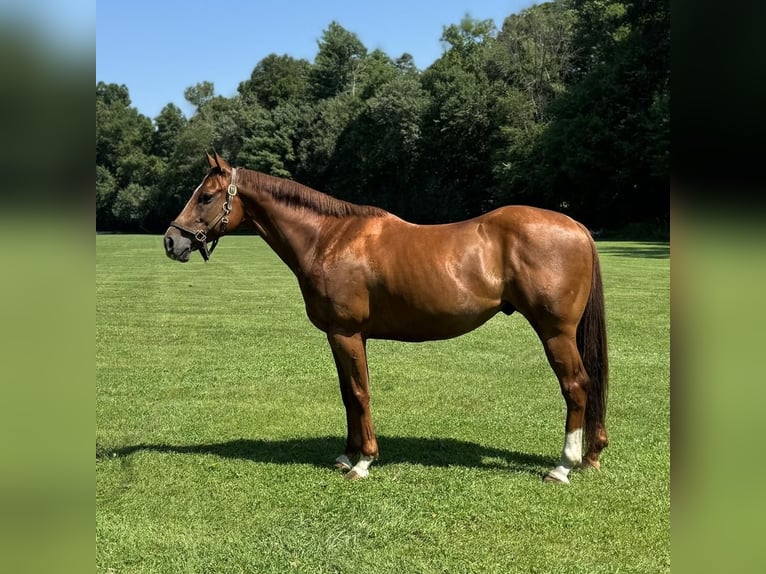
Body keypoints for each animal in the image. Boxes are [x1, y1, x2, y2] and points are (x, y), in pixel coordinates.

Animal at [165, 154, 608, 486]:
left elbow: (361, 393)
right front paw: (347, 455)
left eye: (205, 196)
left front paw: (364, 462)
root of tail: (577, 227)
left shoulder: (346, 334)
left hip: (555, 333)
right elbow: (347, 394)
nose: (172, 241)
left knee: (576, 386)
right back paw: (591, 455)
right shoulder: (341, 336)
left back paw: (563, 466)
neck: (329, 238)